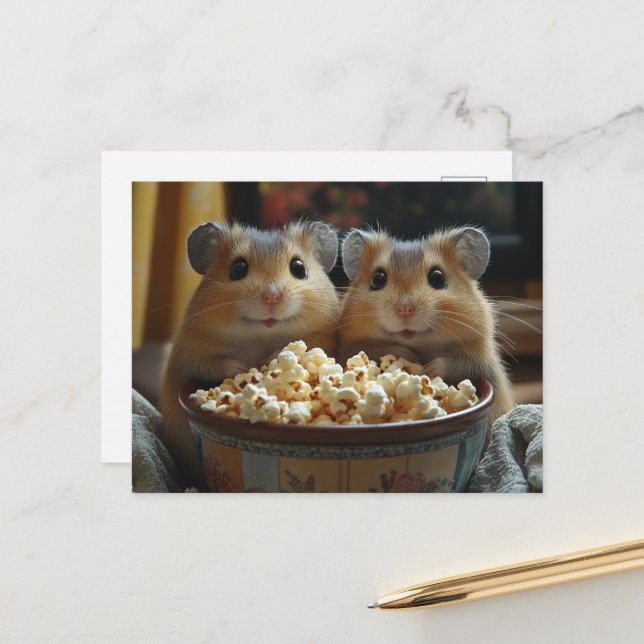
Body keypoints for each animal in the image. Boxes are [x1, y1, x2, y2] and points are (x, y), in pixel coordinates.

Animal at [160, 220, 341, 484]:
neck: (260, 335)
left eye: (298, 268)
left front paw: (268, 361)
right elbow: (215, 364)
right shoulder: (190, 352)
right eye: (238, 269)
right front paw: (244, 369)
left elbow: (285, 350)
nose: (271, 296)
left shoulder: (322, 338)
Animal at [337, 227, 512, 429]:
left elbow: (456, 363)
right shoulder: (350, 349)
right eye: (377, 279)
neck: (422, 344)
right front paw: (409, 357)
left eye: (437, 278)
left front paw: (427, 369)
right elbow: (382, 349)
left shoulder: (481, 361)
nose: (404, 309)